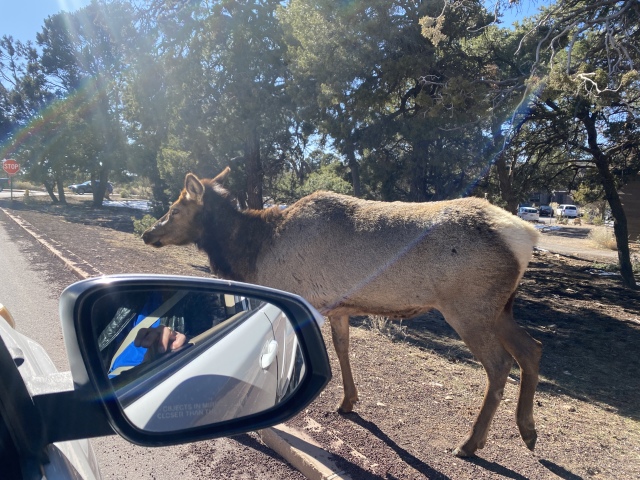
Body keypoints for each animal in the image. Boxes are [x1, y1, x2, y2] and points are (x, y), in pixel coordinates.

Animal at [142, 168, 542, 457]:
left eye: (175, 209)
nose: (148, 233)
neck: (252, 253)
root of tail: (528, 235)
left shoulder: (292, 297)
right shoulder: (337, 305)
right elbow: (342, 348)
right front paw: (348, 401)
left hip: (468, 307)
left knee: (500, 365)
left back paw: (470, 443)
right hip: (499, 308)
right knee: (531, 348)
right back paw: (527, 430)